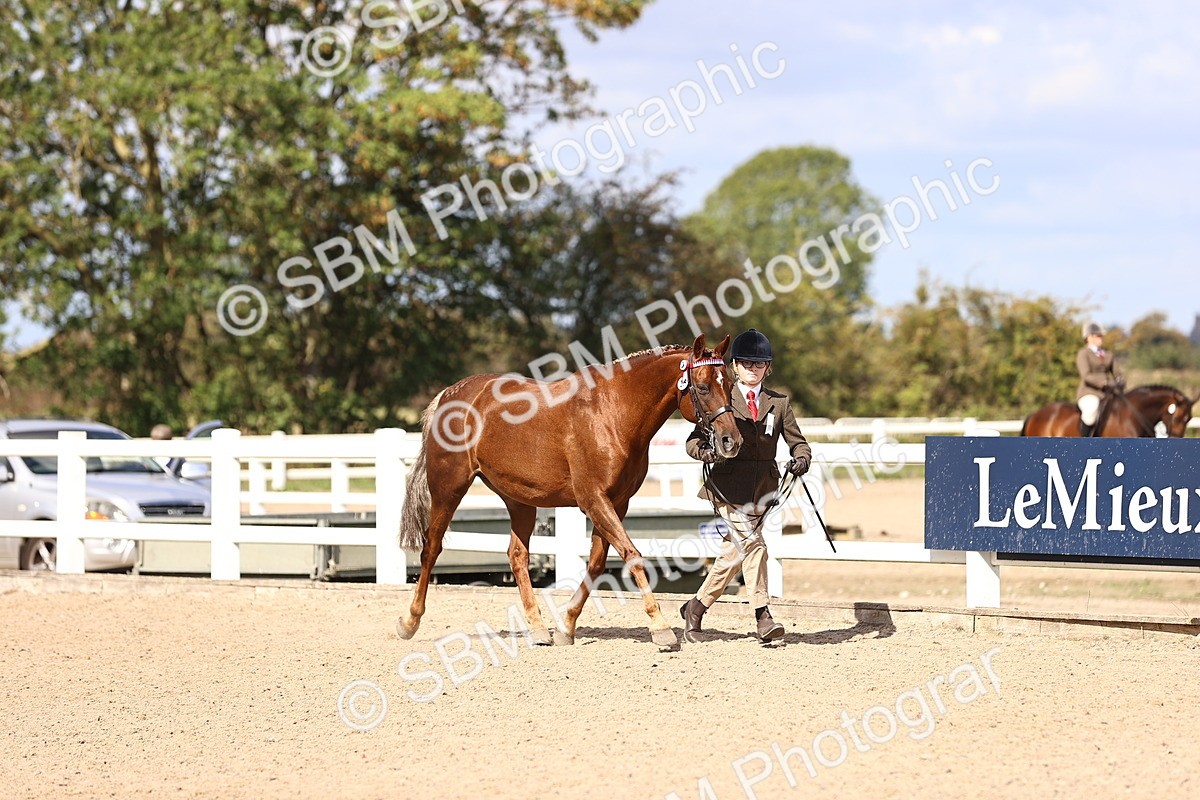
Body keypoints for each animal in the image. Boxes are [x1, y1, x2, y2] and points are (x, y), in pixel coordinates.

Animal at [396, 334, 743, 650]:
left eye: (729, 385)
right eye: (702, 387)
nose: (731, 441)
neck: (613, 413)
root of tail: (450, 395)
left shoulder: (617, 504)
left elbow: (596, 564)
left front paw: (566, 627)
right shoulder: (594, 500)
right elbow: (632, 556)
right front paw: (661, 628)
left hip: (519, 500)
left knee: (517, 556)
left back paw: (538, 629)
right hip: (448, 489)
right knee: (431, 549)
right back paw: (410, 621)